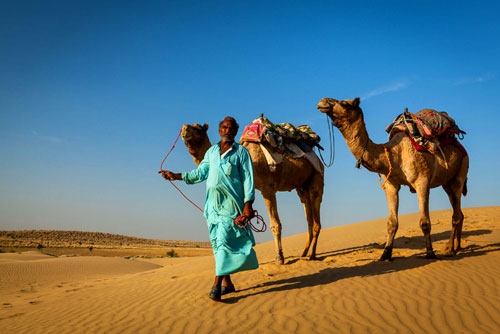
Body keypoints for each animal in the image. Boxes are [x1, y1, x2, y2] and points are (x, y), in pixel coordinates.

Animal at [180, 122, 324, 264]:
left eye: (198, 129)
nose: (184, 129)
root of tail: (317, 157)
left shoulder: (268, 188)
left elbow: (275, 225)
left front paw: (279, 258)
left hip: (317, 174)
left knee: (316, 205)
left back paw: (312, 255)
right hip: (301, 186)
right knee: (307, 210)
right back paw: (304, 253)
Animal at [316, 98, 468, 260]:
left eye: (345, 103)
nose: (322, 102)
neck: (394, 154)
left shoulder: (422, 181)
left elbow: (424, 222)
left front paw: (430, 253)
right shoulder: (391, 185)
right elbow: (392, 223)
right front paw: (386, 254)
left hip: (461, 170)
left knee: (456, 213)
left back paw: (451, 250)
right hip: (447, 183)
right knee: (458, 212)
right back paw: (455, 247)